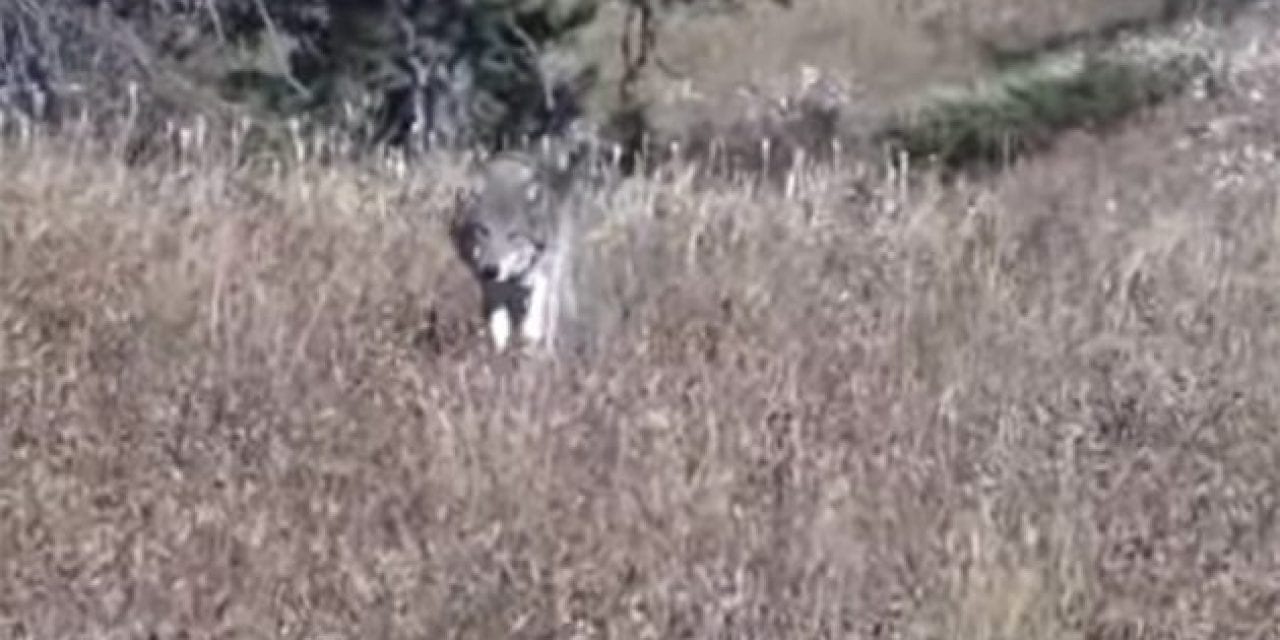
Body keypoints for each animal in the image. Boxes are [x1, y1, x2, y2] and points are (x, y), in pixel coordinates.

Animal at [445, 149, 576, 355]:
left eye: (514, 235)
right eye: (483, 230)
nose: (491, 270)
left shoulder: (544, 267)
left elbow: (536, 311)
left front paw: (530, 338)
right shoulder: (489, 284)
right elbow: (499, 324)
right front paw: (499, 352)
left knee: (550, 316)